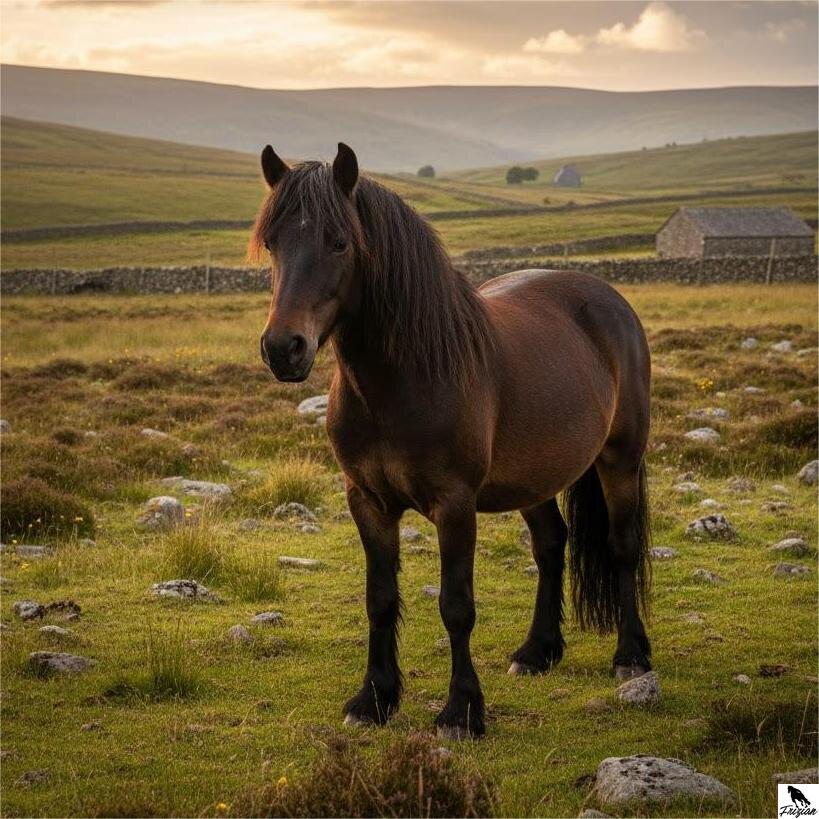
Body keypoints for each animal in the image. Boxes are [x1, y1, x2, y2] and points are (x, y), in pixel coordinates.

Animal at [252, 142, 652, 739]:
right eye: (273, 242)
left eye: (339, 241)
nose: (283, 348)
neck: (398, 382)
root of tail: (608, 298)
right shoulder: (367, 501)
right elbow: (379, 599)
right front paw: (374, 699)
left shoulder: (455, 504)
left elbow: (456, 605)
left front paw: (461, 710)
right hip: (531, 478)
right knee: (551, 544)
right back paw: (536, 651)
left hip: (619, 460)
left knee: (622, 546)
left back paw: (631, 655)